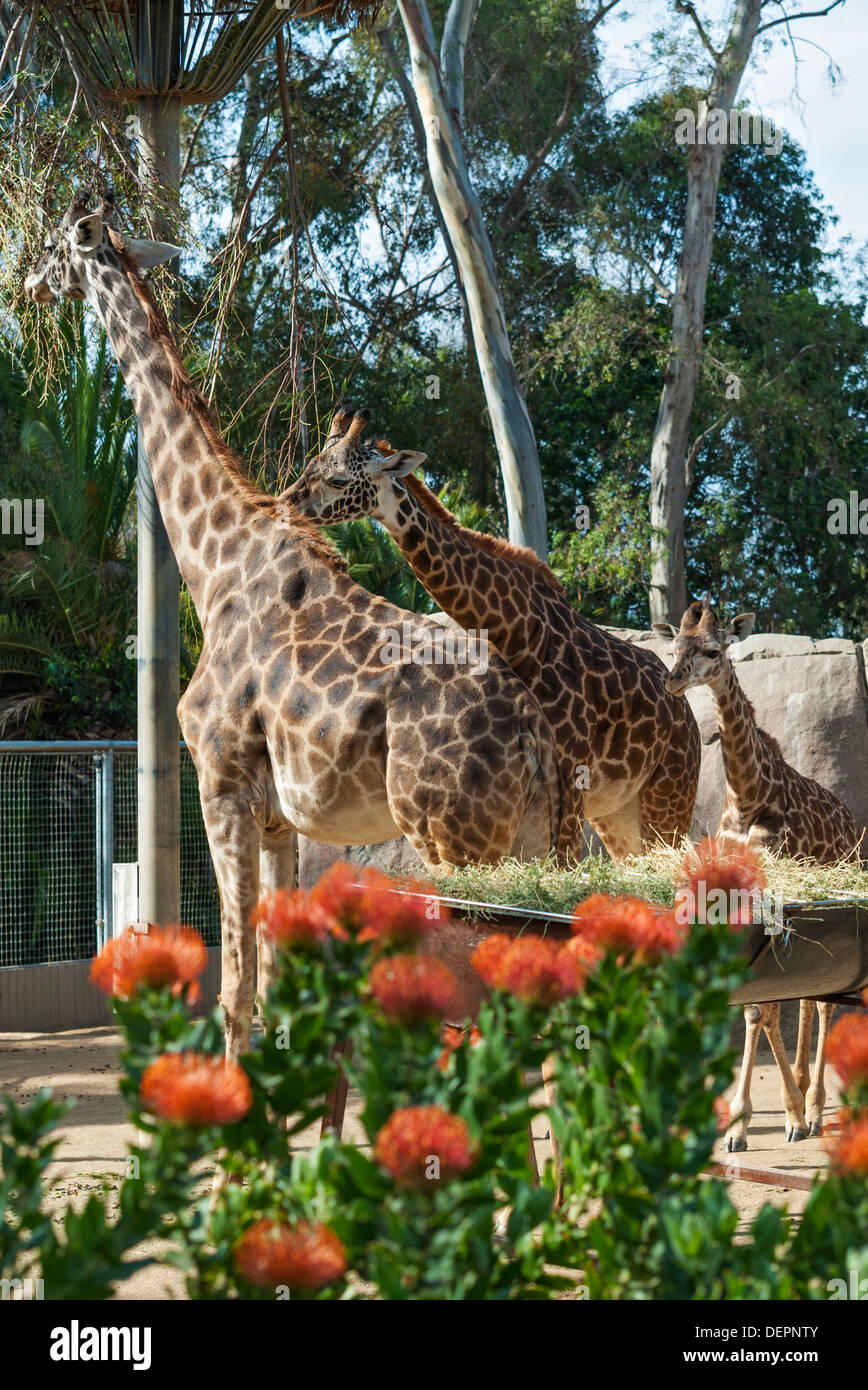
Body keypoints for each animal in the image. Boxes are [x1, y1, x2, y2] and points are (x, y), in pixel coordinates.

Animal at [25, 187, 561, 1050]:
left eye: (55, 246)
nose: (30, 284)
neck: (214, 562)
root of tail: (540, 744)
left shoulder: (221, 787)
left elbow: (234, 980)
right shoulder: (280, 820)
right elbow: (273, 984)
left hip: (457, 843)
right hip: (536, 844)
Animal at [280, 408, 701, 856]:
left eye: (340, 480)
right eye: (309, 466)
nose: (286, 505)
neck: (517, 633)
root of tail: (687, 715)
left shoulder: (572, 767)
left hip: (670, 792)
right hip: (618, 812)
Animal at [656, 597, 862, 1150]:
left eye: (713, 649)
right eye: (672, 647)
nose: (673, 682)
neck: (748, 797)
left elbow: (761, 1007)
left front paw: (778, 1118)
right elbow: (756, 1005)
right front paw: (741, 1125)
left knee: (822, 1001)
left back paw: (813, 1109)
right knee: (809, 996)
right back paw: (806, 1103)